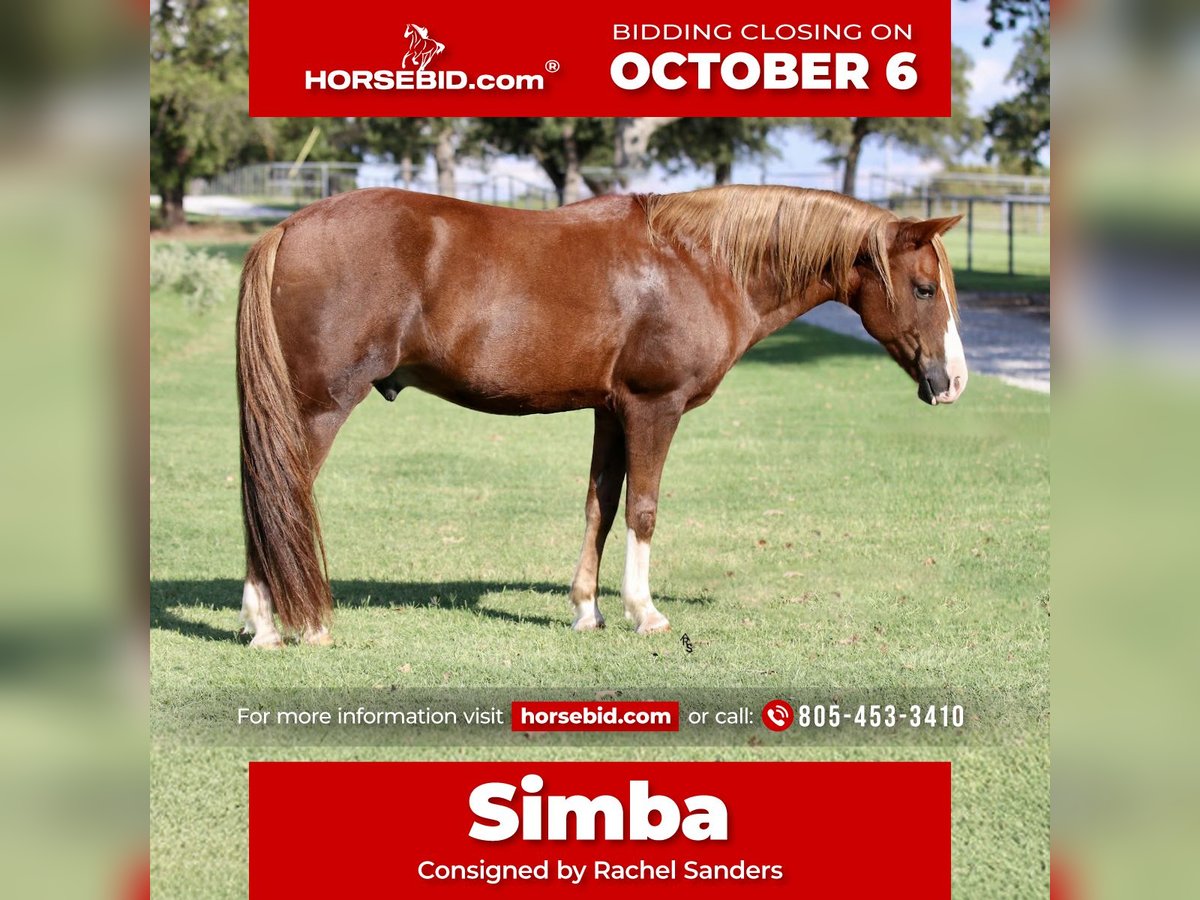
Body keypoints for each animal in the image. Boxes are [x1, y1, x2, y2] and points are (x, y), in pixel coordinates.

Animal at [236, 185, 967, 648]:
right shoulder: (652, 407)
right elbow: (643, 508)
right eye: (924, 288)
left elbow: (601, 506)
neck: (697, 261)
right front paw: (644, 612)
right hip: (318, 410)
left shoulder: (610, 412)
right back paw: (286, 625)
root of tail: (287, 228)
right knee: (279, 497)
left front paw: (587, 611)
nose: (953, 382)